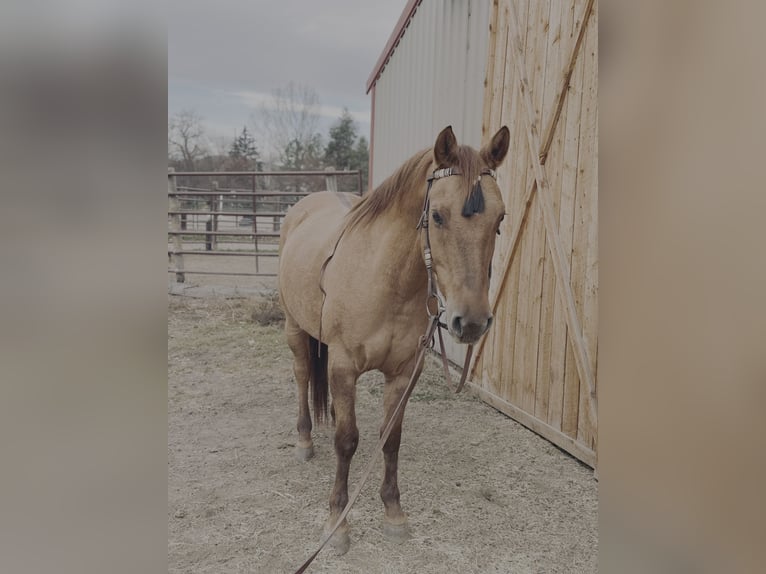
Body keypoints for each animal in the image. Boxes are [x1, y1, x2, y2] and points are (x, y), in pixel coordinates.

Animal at [278, 125, 510, 555]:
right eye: (437, 215)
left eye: (500, 218)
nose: (471, 321)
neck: (385, 280)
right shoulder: (343, 365)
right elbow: (347, 441)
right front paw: (338, 522)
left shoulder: (404, 372)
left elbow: (391, 439)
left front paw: (394, 513)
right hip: (294, 327)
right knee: (302, 376)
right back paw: (304, 440)